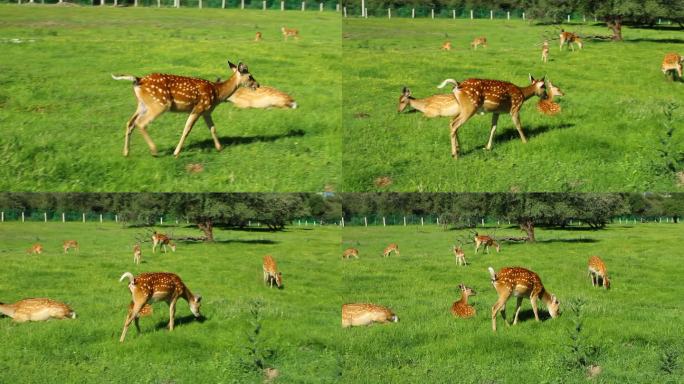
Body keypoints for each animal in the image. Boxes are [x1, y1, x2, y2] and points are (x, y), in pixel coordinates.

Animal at [112, 60, 260, 157]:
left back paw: (126, 152)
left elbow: (212, 128)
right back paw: (154, 151)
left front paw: (219, 148)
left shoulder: (207, 112)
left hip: (142, 104)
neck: (217, 92)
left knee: (130, 122)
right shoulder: (199, 107)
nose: (257, 85)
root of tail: (139, 80)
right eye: (250, 76)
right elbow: (187, 129)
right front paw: (176, 152)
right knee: (141, 123)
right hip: (159, 103)